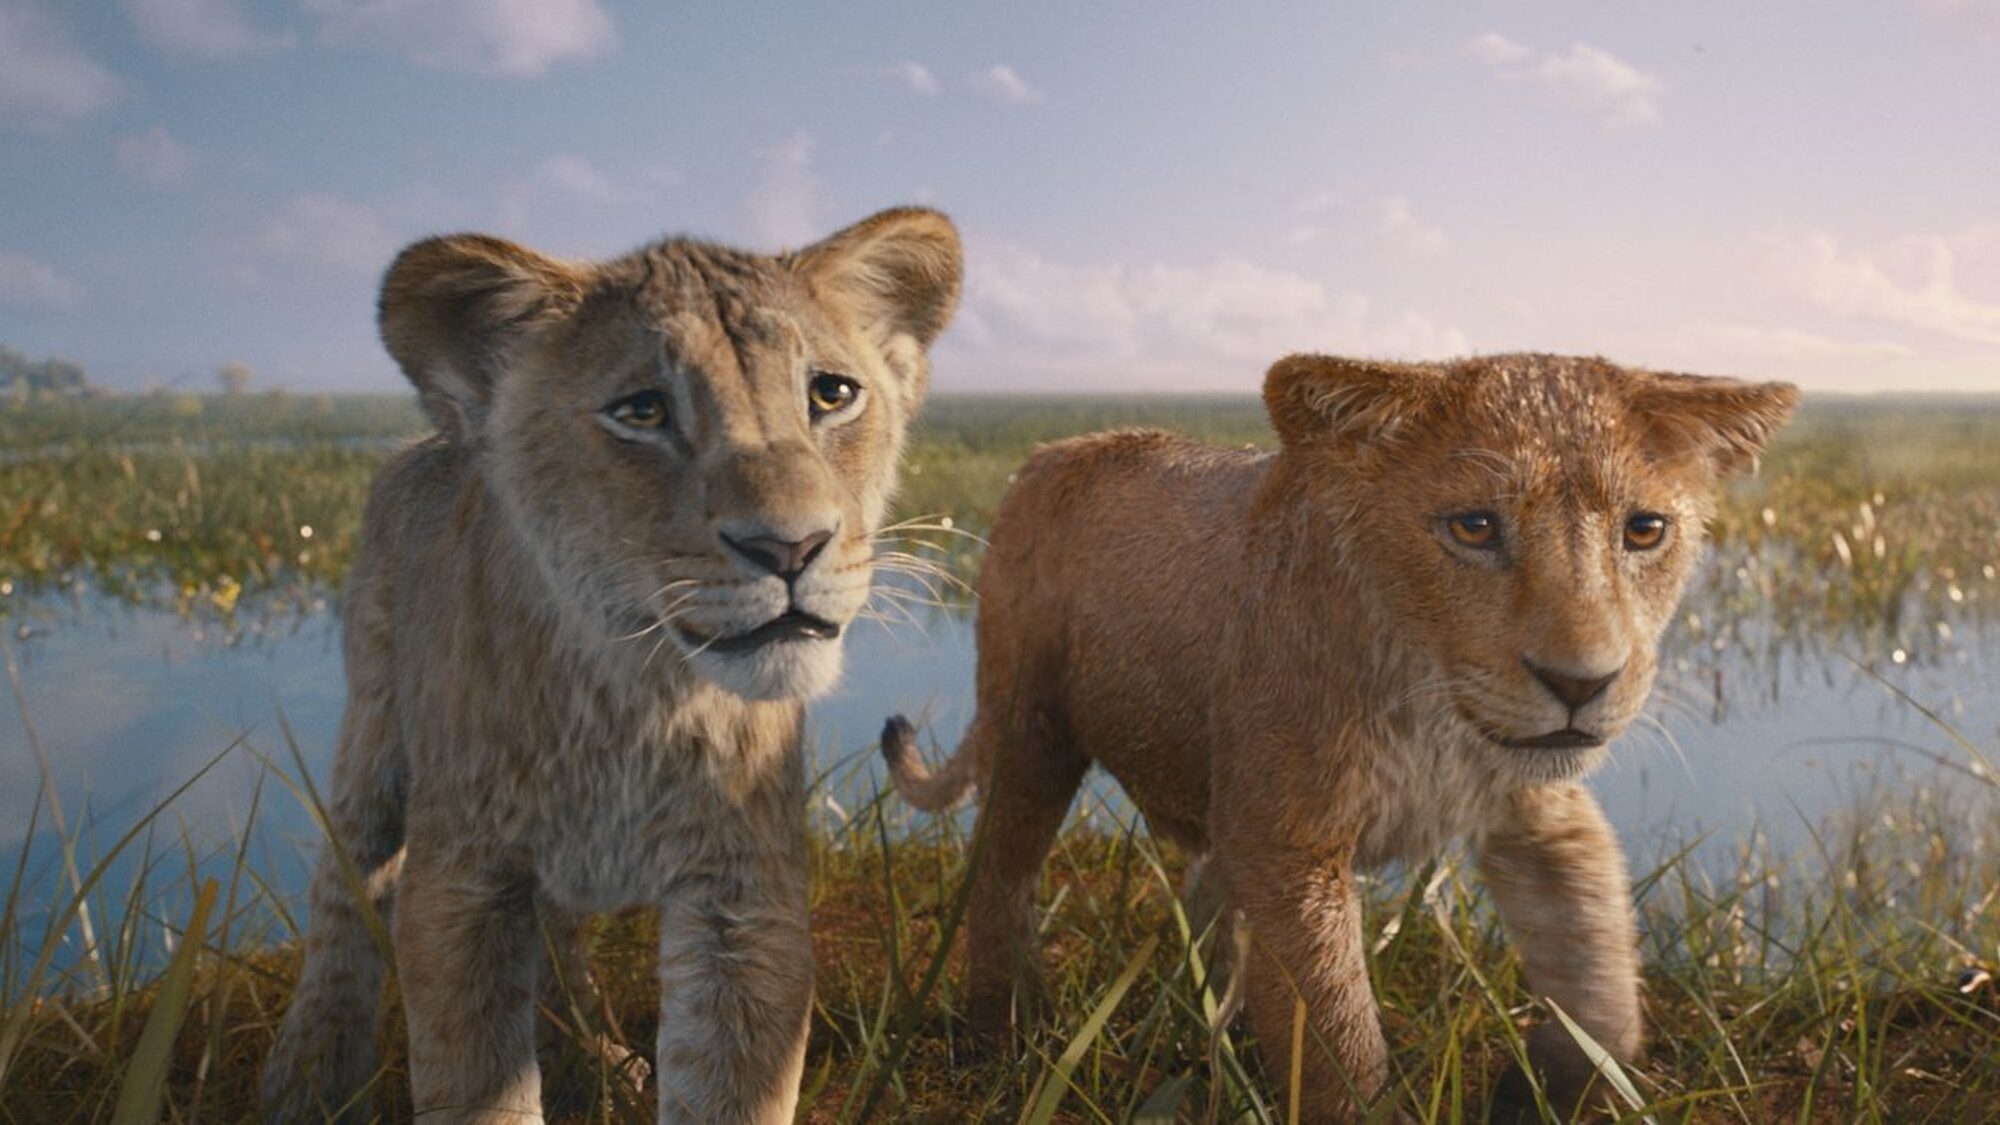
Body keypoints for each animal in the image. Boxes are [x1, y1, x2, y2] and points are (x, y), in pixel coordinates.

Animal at [259, 207, 961, 1123]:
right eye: (643, 410)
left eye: (831, 393)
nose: (791, 547)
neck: (637, 694)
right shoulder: (462, 885)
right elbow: (474, 1084)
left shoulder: (742, 898)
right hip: (373, 730)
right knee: (345, 891)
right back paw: (306, 1078)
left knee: (558, 935)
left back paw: (589, 1056)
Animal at [882, 352, 1797, 1120]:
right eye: (1473, 527)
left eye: (1644, 530)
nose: (1582, 685)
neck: (1432, 707)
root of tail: (1052, 450)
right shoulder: (1291, 842)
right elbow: (1339, 1035)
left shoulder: (1540, 814)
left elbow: (1601, 971)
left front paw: (1555, 1083)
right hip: (1031, 726)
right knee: (1001, 871)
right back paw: (1005, 1034)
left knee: (1210, 902)